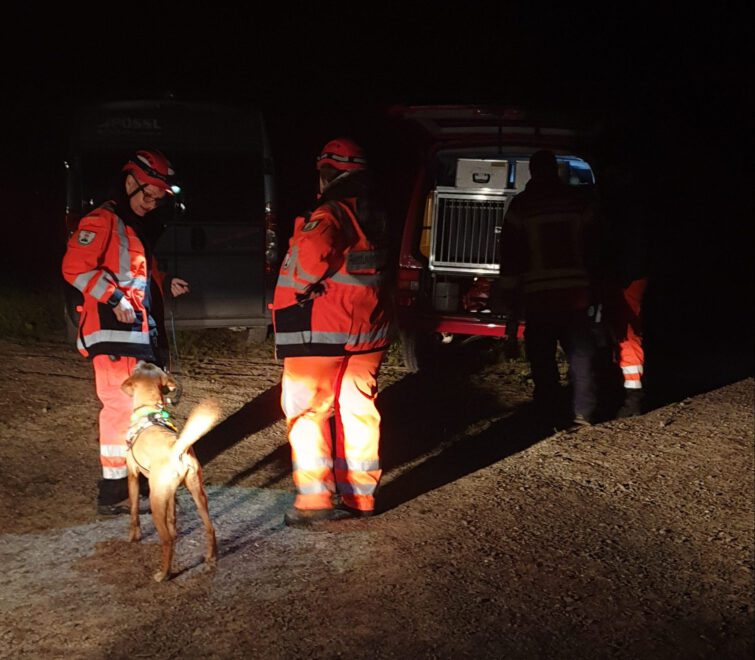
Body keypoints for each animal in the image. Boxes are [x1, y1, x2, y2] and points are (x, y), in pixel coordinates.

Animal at [121, 360, 220, 584]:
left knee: (166, 541)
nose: (141, 359)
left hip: (155, 499)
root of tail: (178, 449)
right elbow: (172, 517)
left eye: (138, 368)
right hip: (198, 494)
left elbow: (133, 512)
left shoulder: (133, 476)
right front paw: (176, 529)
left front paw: (133, 537)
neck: (149, 409)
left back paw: (163, 574)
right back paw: (210, 558)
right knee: (210, 528)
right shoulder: (172, 493)